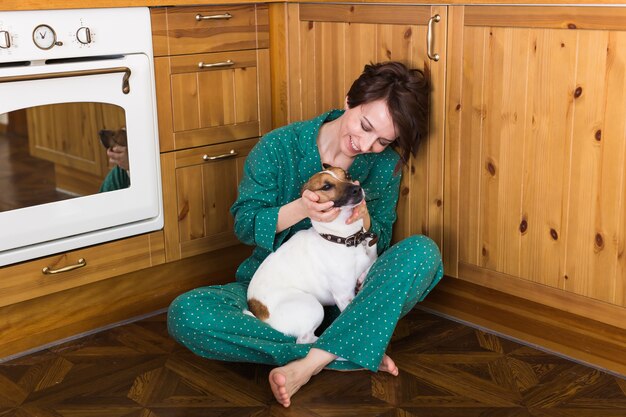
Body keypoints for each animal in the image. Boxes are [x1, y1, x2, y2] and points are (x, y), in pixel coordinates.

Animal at [245, 164, 376, 342]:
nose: (357, 189)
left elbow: (371, 264)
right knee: (304, 340)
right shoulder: (344, 296)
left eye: (347, 175)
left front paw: (362, 277)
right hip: (314, 306)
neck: (346, 238)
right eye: (326, 186)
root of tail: (257, 309)